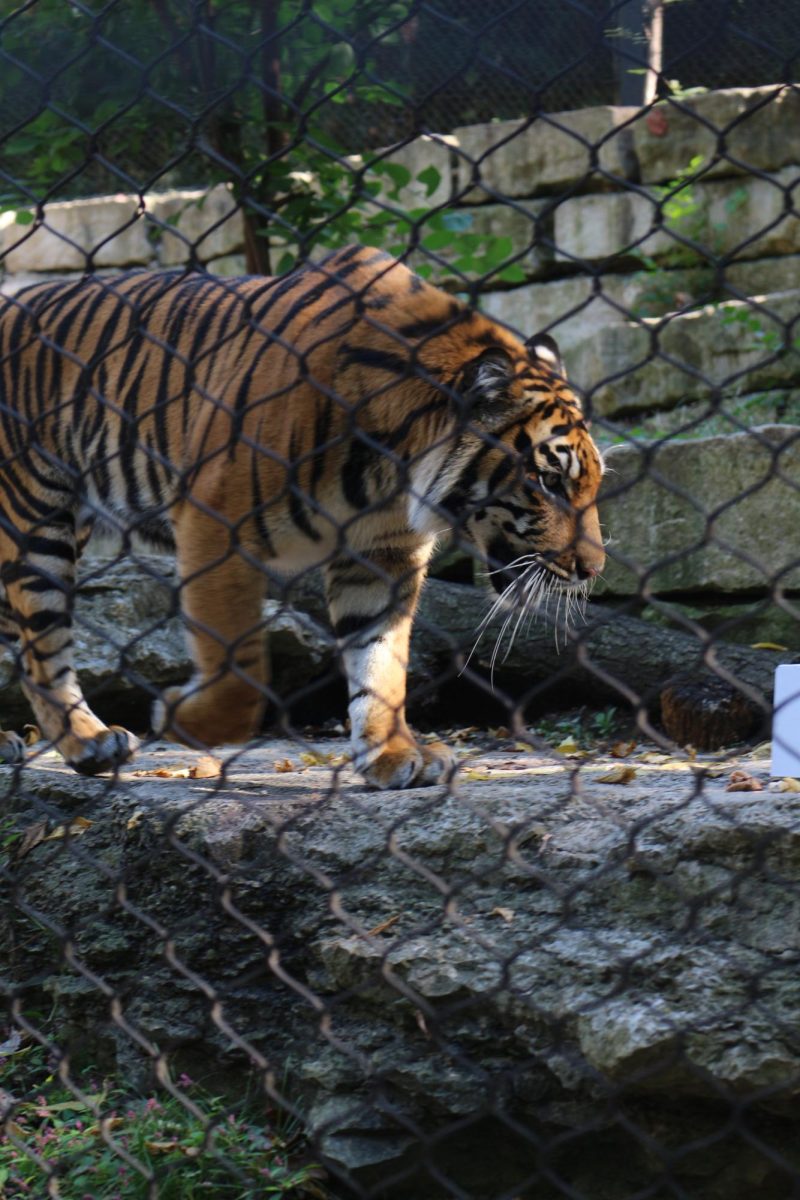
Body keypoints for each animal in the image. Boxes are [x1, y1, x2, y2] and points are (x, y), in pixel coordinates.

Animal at [0, 243, 604, 787]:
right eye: (548, 481)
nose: (593, 570)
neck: (393, 467)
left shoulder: (382, 554)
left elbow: (381, 662)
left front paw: (392, 755)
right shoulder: (216, 522)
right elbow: (241, 667)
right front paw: (182, 718)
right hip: (36, 523)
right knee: (40, 654)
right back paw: (90, 744)